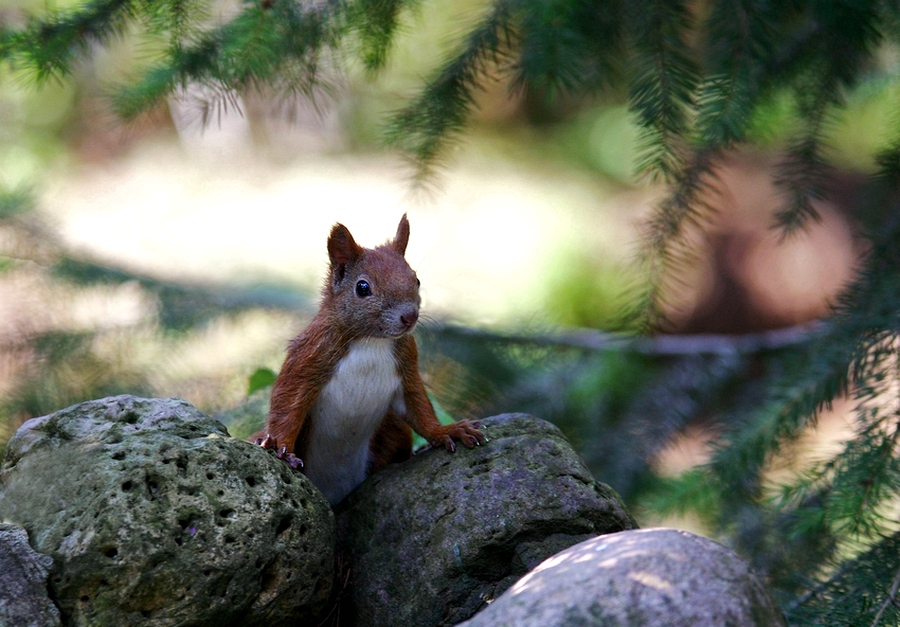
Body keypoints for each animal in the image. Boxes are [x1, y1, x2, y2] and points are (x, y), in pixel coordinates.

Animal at [255, 216, 486, 506]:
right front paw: (283, 449)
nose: (409, 317)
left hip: (392, 431)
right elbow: (288, 404)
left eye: (416, 280)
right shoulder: (310, 354)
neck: (371, 341)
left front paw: (446, 431)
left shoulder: (407, 364)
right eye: (362, 287)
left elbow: (418, 407)